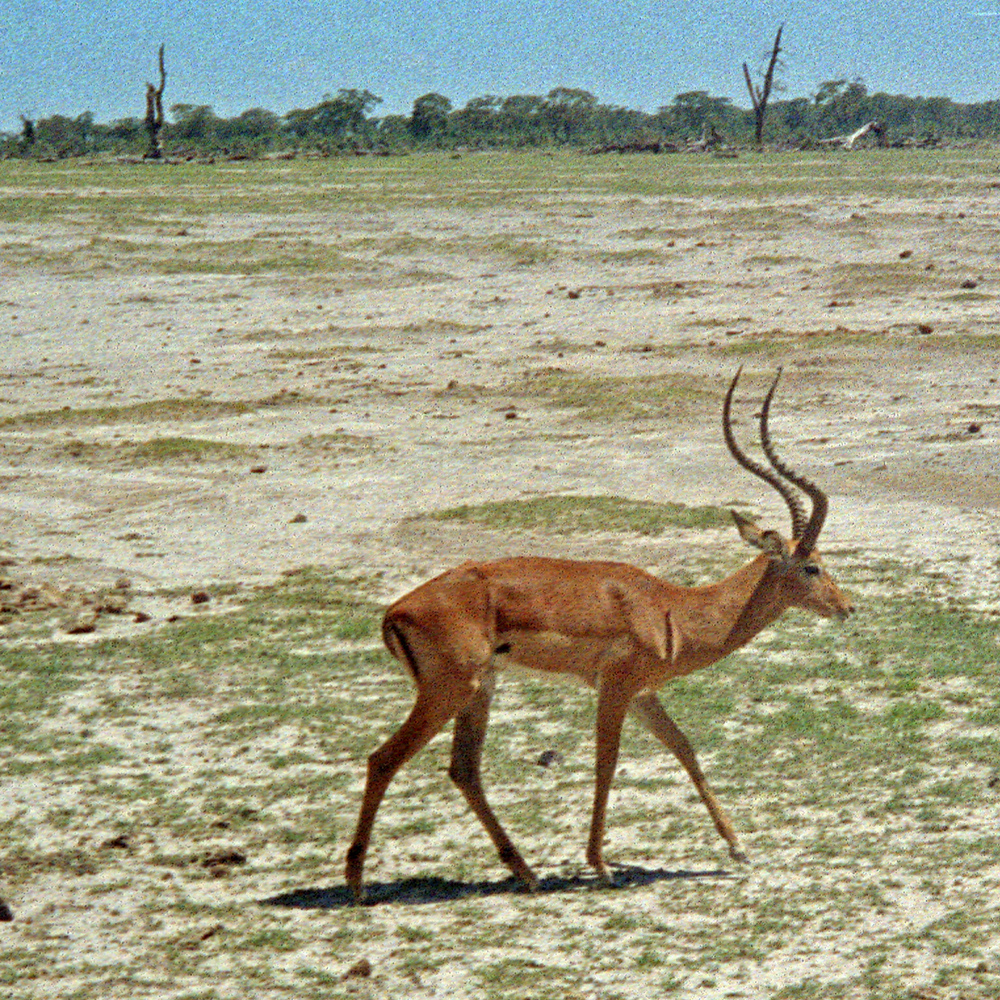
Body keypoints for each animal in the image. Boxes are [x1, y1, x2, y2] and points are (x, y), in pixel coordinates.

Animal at [346, 372, 852, 904]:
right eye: (813, 566)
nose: (847, 608)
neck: (670, 609)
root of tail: (396, 610)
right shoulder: (615, 687)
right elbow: (607, 762)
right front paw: (602, 865)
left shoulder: (643, 693)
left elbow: (685, 748)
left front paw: (738, 848)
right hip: (449, 690)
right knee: (384, 759)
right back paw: (358, 885)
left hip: (480, 690)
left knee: (463, 768)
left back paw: (526, 873)